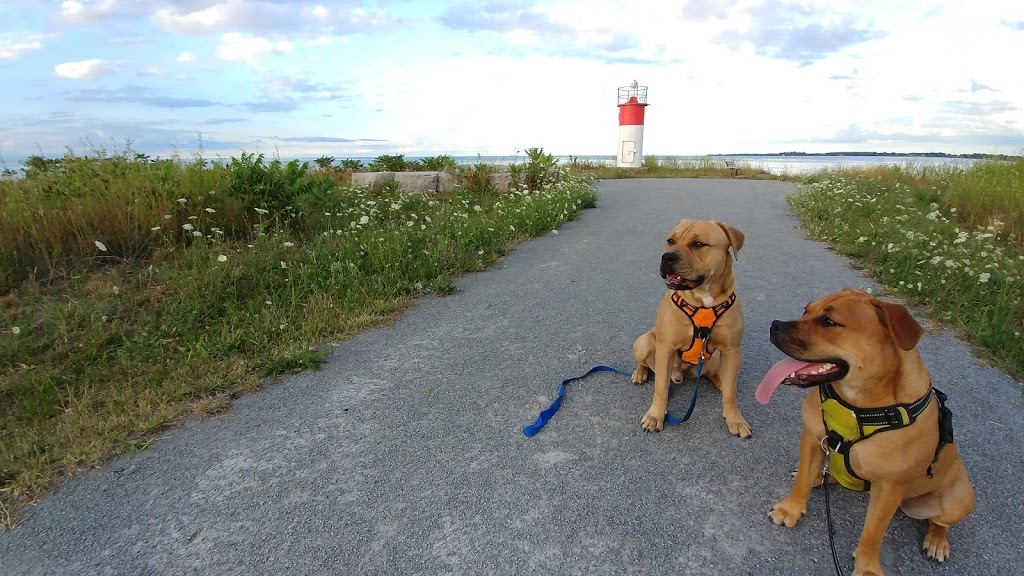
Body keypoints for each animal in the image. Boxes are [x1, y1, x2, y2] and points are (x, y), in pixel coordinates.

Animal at [626, 218, 749, 434]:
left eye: (698, 244)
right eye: (670, 240)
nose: (667, 257)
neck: (702, 300)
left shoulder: (732, 350)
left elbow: (731, 393)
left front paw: (735, 419)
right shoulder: (666, 348)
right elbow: (660, 389)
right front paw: (655, 416)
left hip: (716, 358)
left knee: (718, 377)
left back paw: (721, 381)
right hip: (643, 342)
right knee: (647, 364)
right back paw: (640, 373)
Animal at [761, 286, 974, 573]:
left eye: (829, 322)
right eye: (807, 310)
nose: (775, 325)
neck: (857, 408)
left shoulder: (889, 488)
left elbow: (873, 532)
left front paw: (868, 567)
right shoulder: (813, 438)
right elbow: (801, 483)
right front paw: (791, 509)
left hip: (960, 498)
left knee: (940, 522)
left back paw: (937, 541)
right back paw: (819, 476)